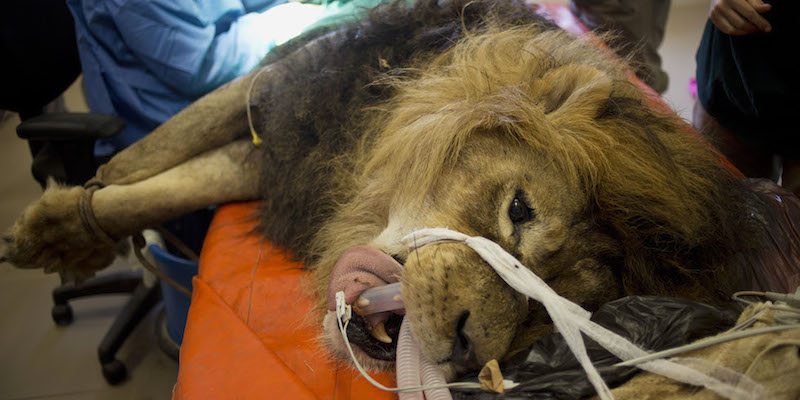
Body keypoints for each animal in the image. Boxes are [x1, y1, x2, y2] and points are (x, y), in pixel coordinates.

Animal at [4, 0, 768, 382]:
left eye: (560, 311)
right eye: (518, 211)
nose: (463, 347)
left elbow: (166, 178)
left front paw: (70, 229)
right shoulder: (281, 99)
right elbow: (150, 159)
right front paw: (60, 231)